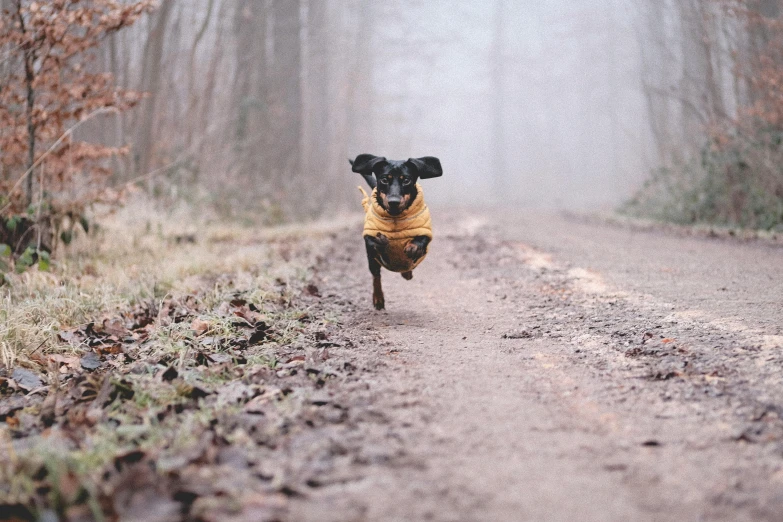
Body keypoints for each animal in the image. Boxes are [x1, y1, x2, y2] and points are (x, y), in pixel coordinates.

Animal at [350, 152, 440, 306]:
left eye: (406, 180)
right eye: (385, 179)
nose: (393, 202)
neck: (395, 218)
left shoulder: (424, 231)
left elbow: (421, 240)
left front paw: (413, 248)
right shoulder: (369, 239)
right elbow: (375, 244)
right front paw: (382, 242)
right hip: (372, 261)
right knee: (376, 275)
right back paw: (378, 298)